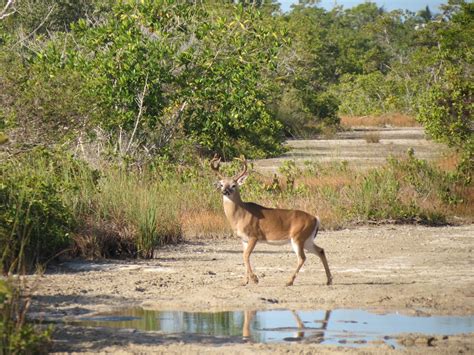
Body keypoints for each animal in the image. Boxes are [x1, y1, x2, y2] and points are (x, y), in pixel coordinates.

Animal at [211, 156, 334, 286]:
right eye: (221, 184)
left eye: (234, 185)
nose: (225, 191)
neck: (241, 215)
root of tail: (316, 219)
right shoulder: (243, 239)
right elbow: (244, 255)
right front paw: (244, 281)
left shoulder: (254, 235)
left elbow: (245, 255)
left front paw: (254, 279)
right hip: (307, 239)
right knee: (320, 250)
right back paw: (328, 280)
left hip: (298, 236)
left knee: (302, 258)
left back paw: (289, 281)